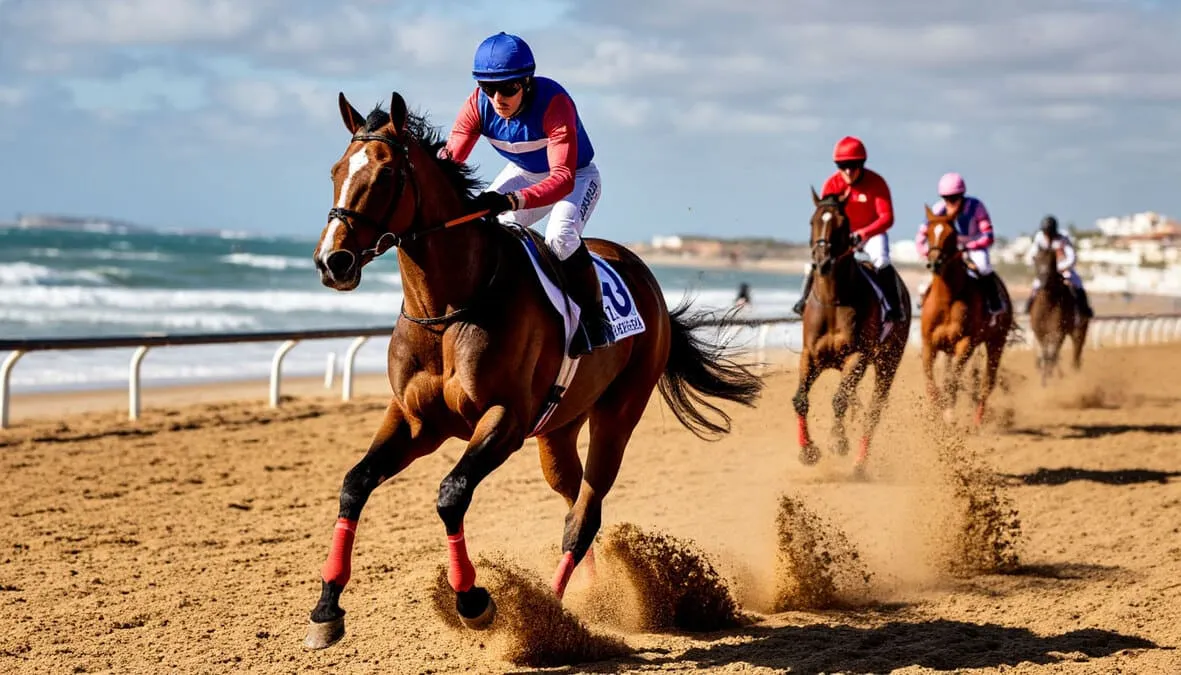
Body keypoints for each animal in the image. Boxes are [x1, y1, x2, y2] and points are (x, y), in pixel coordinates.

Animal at [303, 91, 764, 649]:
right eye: (336, 170)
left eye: (387, 174)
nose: (333, 261)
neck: (448, 309)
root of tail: (645, 278)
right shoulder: (417, 421)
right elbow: (355, 484)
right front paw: (326, 609)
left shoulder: (504, 419)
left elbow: (451, 494)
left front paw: (474, 601)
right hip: (559, 429)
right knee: (573, 497)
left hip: (618, 414)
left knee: (585, 513)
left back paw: (554, 615)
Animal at [792, 189, 911, 474]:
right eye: (813, 221)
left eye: (842, 224)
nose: (822, 262)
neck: (833, 300)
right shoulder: (811, 355)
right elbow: (801, 399)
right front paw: (808, 451)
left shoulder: (857, 356)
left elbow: (839, 400)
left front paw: (838, 441)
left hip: (888, 363)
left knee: (872, 412)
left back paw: (859, 463)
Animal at [919, 205, 1014, 424]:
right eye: (928, 233)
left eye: (951, 234)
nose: (934, 263)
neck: (946, 300)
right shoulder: (929, 344)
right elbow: (931, 382)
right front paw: (937, 412)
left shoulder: (965, 343)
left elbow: (952, 381)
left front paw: (949, 413)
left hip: (997, 341)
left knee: (987, 382)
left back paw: (978, 421)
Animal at [1029, 244, 1089, 386]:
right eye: (1036, 260)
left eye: (1051, 261)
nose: (1043, 280)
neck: (1048, 305)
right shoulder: (1040, 332)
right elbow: (1046, 354)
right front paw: (1045, 378)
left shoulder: (1058, 331)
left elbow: (1052, 354)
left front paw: (1051, 377)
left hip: (1078, 330)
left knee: (1076, 352)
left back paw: (1074, 372)